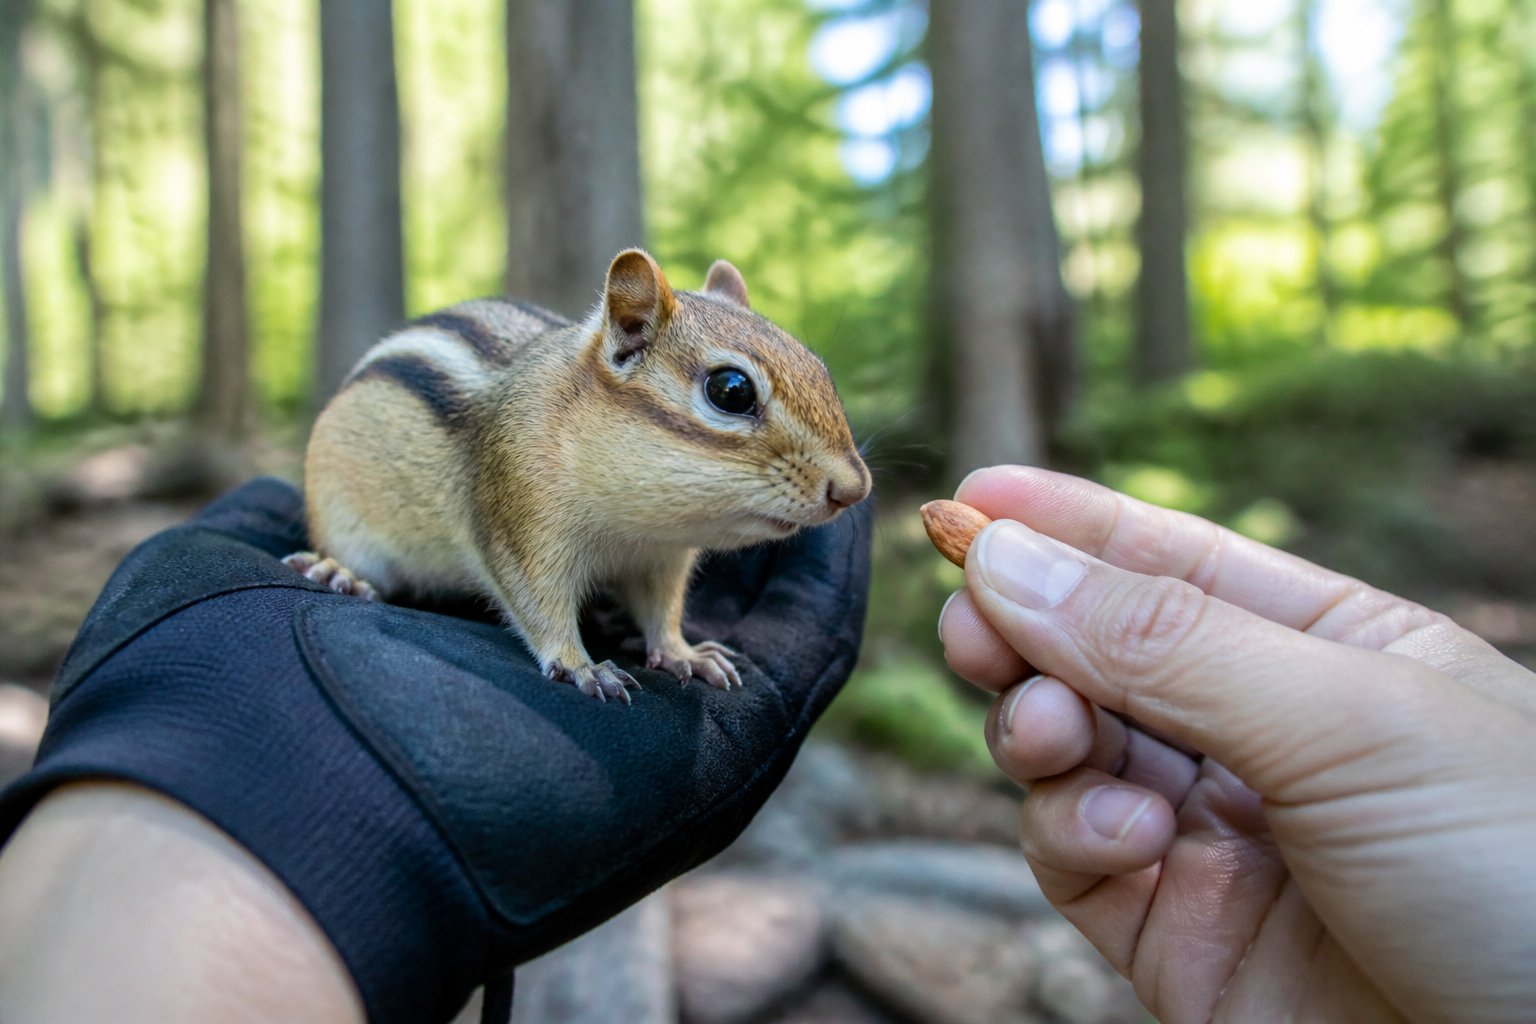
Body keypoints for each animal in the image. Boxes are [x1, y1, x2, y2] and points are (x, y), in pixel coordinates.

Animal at [284, 249, 871, 703]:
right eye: (731, 390)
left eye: (820, 368)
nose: (854, 489)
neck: (638, 523)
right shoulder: (518, 518)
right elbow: (537, 603)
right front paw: (578, 664)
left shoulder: (663, 558)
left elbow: (663, 610)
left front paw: (683, 653)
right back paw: (341, 572)